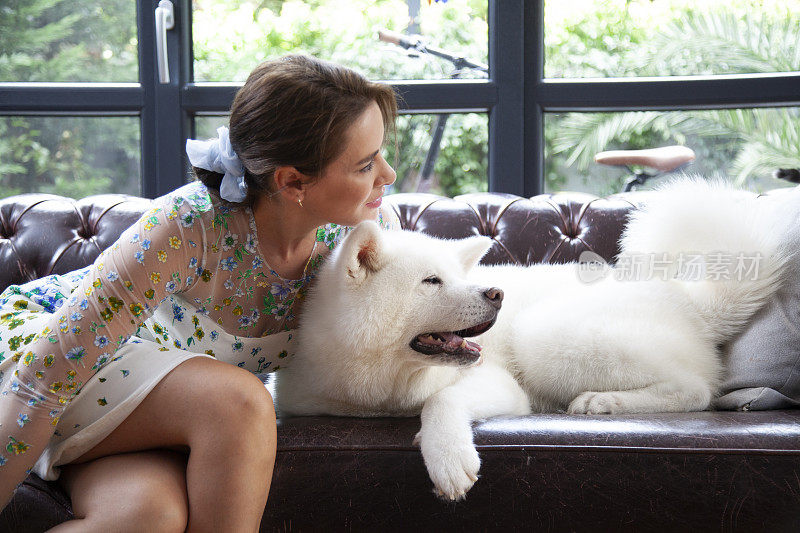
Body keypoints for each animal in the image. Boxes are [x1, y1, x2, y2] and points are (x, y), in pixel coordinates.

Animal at [278, 179, 796, 498]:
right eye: (431, 281)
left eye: (458, 277)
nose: (495, 293)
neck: (380, 380)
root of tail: (687, 300)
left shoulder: (502, 385)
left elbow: (441, 402)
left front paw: (448, 456)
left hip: (544, 336)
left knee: (695, 390)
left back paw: (603, 402)